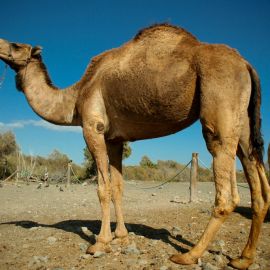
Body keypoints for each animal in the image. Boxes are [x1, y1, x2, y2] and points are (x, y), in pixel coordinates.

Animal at [0, 24, 270, 268]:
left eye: (16, 44)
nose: (1, 44)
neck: (75, 97)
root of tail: (246, 64)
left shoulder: (92, 126)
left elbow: (103, 188)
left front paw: (100, 242)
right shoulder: (115, 139)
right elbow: (118, 187)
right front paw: (121, 237)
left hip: (220, 108)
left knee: (226, 191)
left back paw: (188, 256)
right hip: (243, 126)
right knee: (256, 181)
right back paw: (243, 258)